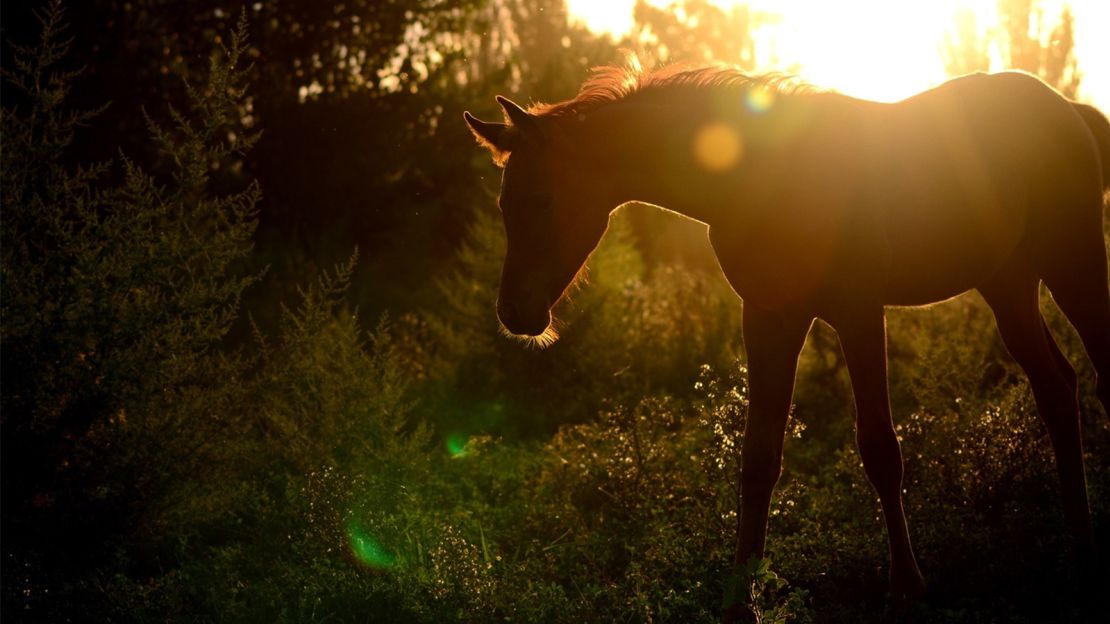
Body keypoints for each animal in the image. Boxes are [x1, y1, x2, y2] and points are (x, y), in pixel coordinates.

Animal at [461, 64, 1110, 612]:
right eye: (502, 200)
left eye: (542, 198)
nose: (516, 313)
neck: (764, 174)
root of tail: (1070, 110)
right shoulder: (770, 316)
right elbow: (758, 458)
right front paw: (737, 602)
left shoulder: (857, 309)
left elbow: (880, 448)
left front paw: (907, 587)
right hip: (1008, 283)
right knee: (1058, 387)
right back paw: (1079, 541)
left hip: (1072, 260)